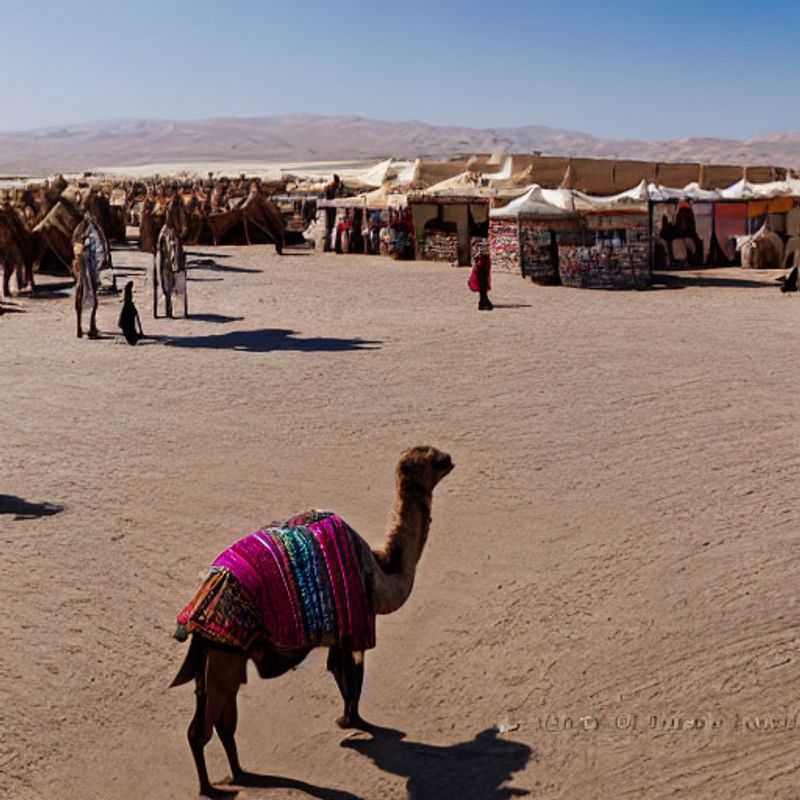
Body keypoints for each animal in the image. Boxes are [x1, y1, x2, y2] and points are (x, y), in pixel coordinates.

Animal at [170, 445, 454, 799]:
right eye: (434, 461)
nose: (451, 459)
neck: (380, 571)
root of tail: (197, 610)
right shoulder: (359, 624)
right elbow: (354, 679)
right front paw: (356, 724)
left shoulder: (339, 633)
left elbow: (339, 673)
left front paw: (349, 723)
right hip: (224, 655)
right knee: (205, 728)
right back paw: (212, 788)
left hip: (214, 660)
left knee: (220, 720)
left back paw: (240, 774)